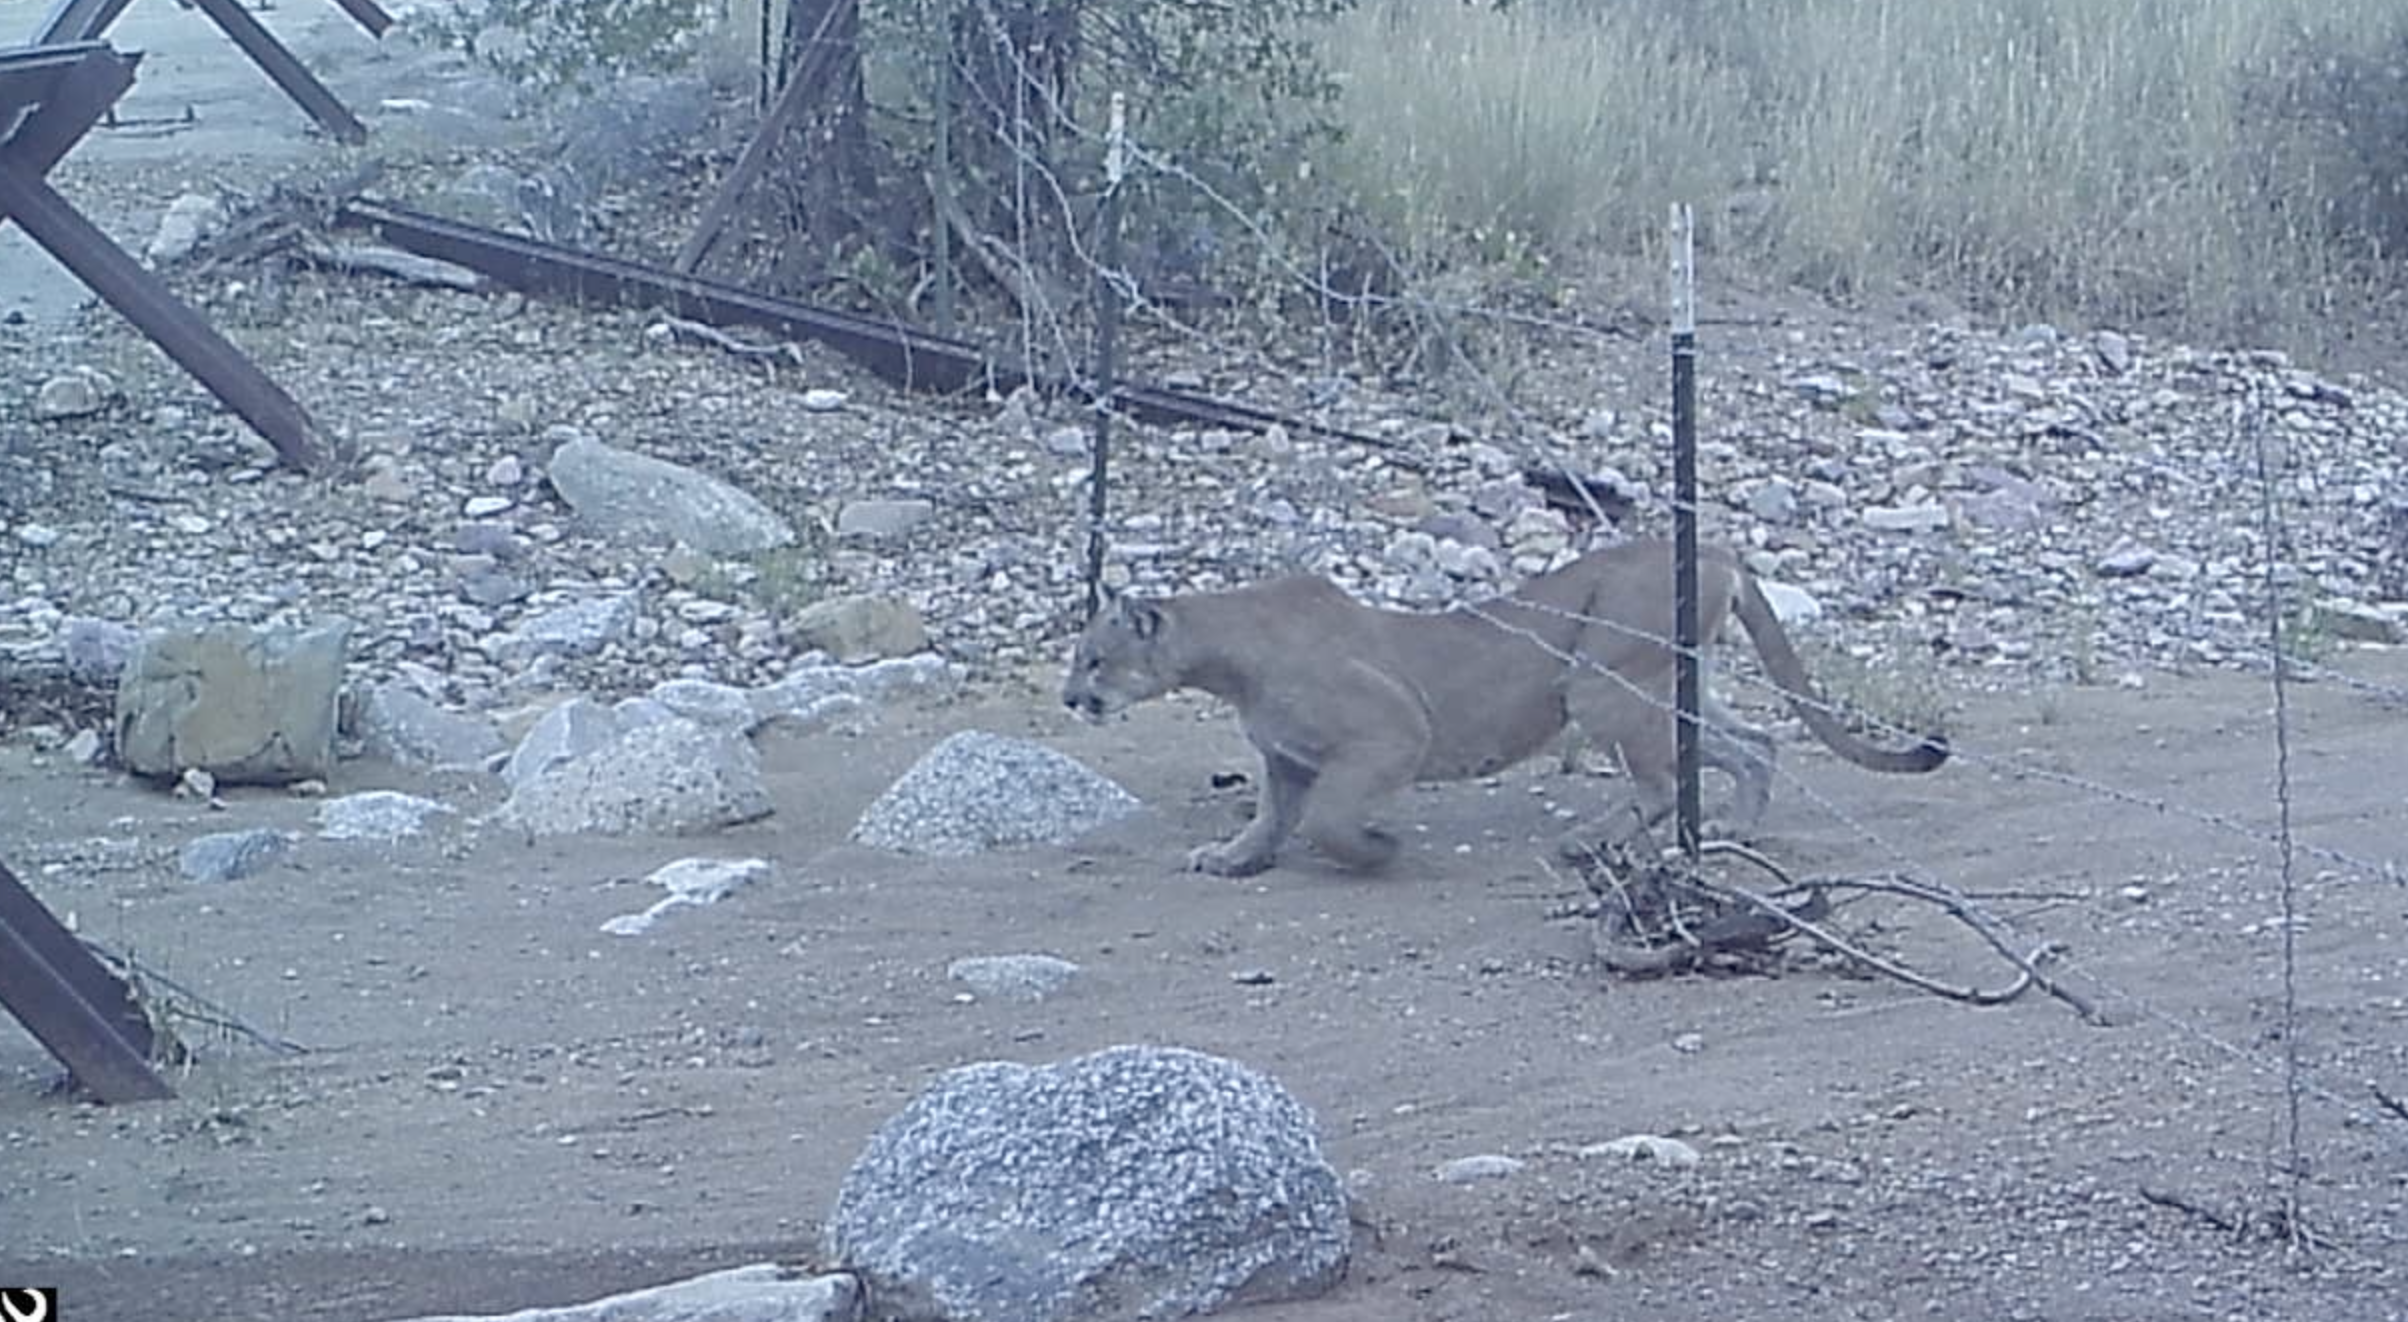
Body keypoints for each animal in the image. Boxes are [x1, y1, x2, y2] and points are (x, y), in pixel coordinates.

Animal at [1062, 537, 1949, 876]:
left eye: (1094, 658)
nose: (1070, 697)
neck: (1227, 655)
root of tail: (1716, 547)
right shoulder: (1285, 758)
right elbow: (1276, 816)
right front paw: (1232, 856)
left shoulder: (1391, 731)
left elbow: (1326, 820)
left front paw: (1378, 848)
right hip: (1673, 687)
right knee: (1754, 743)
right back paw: (1734, 828)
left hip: (1599, 682)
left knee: (1663, 782)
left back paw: (1588, 841)